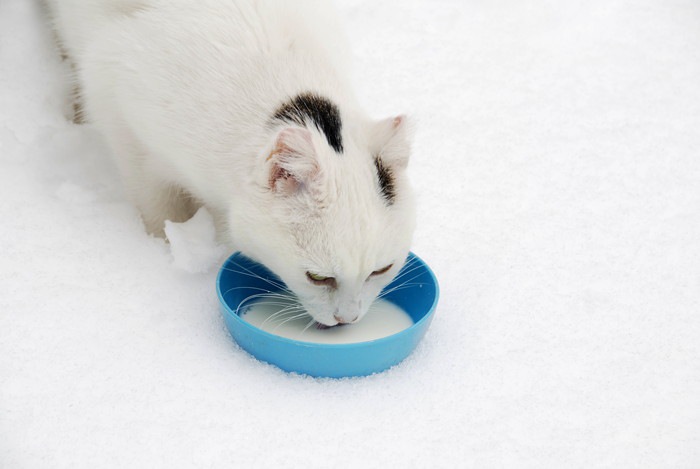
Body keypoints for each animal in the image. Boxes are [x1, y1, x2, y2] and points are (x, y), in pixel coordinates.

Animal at [47, 0, 416, 328]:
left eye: (380, 270)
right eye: (317, 277)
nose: (347, 319)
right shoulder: (119, 108)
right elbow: (158, 210)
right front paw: (166, 247)